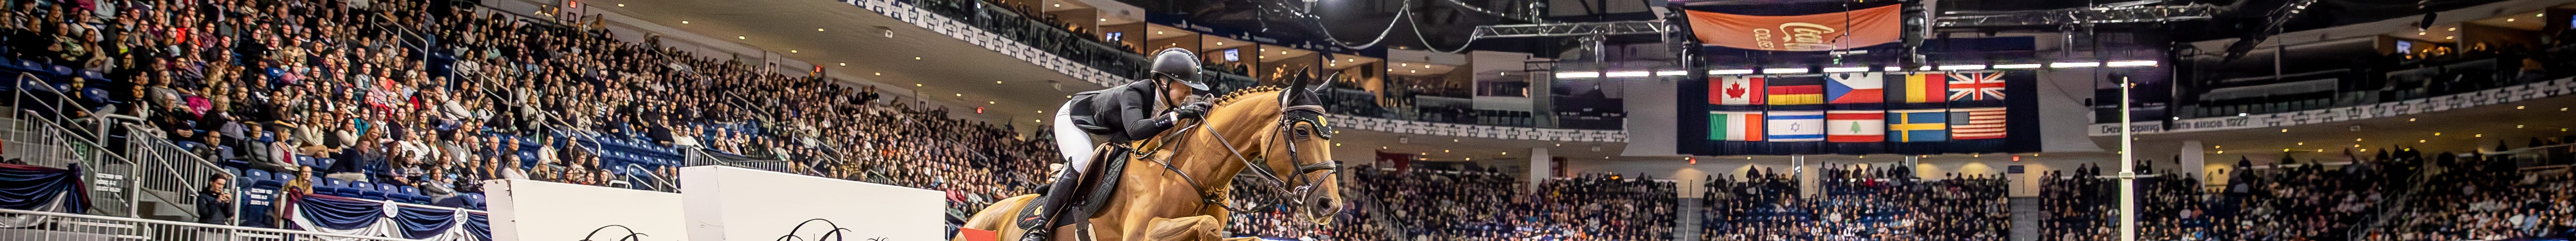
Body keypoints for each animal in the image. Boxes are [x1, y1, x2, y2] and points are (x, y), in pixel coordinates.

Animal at [957, 72, 1343, 241]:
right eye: (1302, 131)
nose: (1330, 206)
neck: (1199, 174)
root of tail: (981, 215)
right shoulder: (1141, 234)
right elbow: (1206, 226)